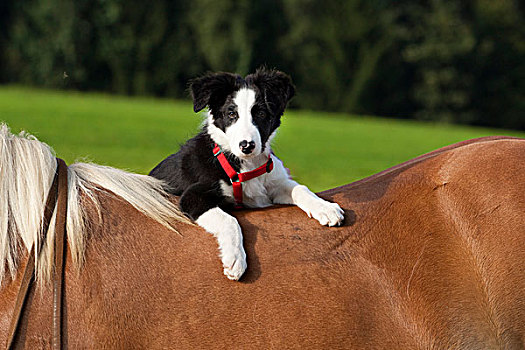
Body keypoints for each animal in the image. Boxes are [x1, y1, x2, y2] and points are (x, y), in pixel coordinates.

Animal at [147, 69, 344, 282]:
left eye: (261, 113)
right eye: (231, 114)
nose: (247, 146)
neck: (245, 166)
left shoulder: (274, 182)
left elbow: (301, 188)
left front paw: (325, 208)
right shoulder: (192, 196)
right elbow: (230, 221)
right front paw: (235, 260)